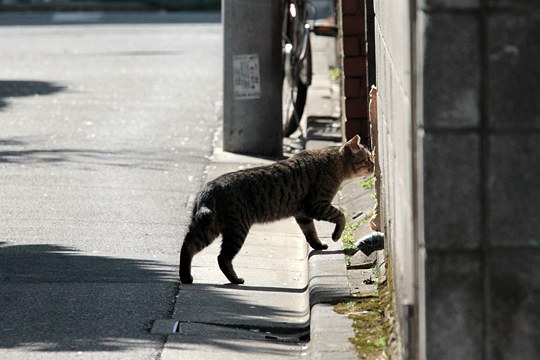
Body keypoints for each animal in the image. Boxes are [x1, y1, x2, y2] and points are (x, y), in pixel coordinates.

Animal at [179, 135, 374, 284]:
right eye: (367, 158)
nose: (373, 166)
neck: (333, 163)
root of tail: (210, 187)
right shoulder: (317, 205)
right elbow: (340, 216)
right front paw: (335, 236)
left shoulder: (303, 214)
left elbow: (311, 233)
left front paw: (318, 245)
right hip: (236, 230)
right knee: (222, 258)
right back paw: (235, 279)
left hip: (208, 228)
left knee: (188, 246)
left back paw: (186, 277)